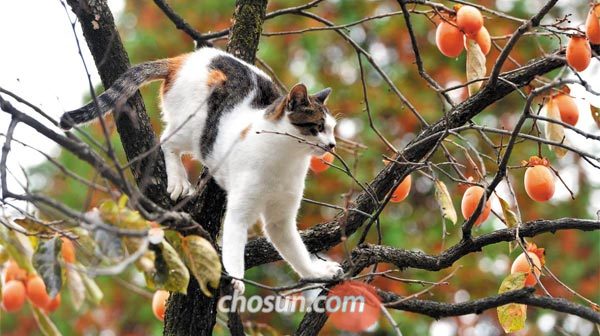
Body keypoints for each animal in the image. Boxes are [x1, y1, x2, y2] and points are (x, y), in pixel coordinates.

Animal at [61, 46, 344, 294]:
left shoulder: (281, 219)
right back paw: (178, 181)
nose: (332, 145)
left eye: (332, 129)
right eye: (318, 127)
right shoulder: (239, 212)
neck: (286, 161)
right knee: (167, 140)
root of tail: (185, 58)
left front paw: (317, 273)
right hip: (192, 127)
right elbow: (233, 249)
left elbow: (295, 251)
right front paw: (236, 280)